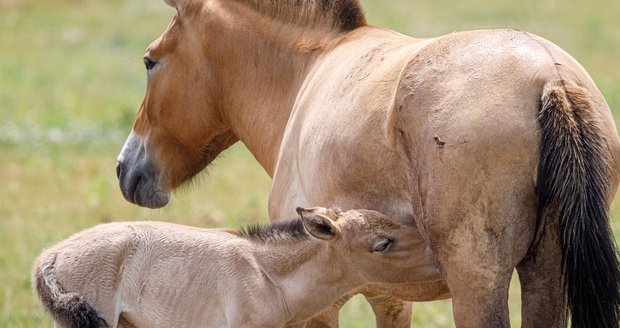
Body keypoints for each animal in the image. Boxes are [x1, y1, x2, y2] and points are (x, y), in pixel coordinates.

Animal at [115, 0, 620, 328]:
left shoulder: (318, 302)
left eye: (149, 61)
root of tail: (550, 78)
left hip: (479, 285)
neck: (310, 71)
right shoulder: (389, 296)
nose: (124, 168)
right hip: (545, 277)